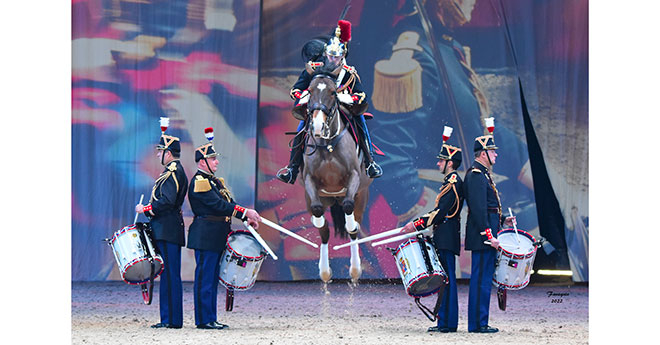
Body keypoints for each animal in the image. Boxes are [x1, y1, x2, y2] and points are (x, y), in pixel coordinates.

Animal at [298, 68, 372, 280]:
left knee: (354, 228)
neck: (327, 144)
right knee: (324, 232)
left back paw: (355, 269)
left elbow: (348, 210)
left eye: (333, 93)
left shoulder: (354, 177)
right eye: (310, 91)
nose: (317, 125)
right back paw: (324, 271)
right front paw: (318, 220)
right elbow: (318, 215)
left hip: (361, 197)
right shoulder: (309, 181)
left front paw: (350, 225)